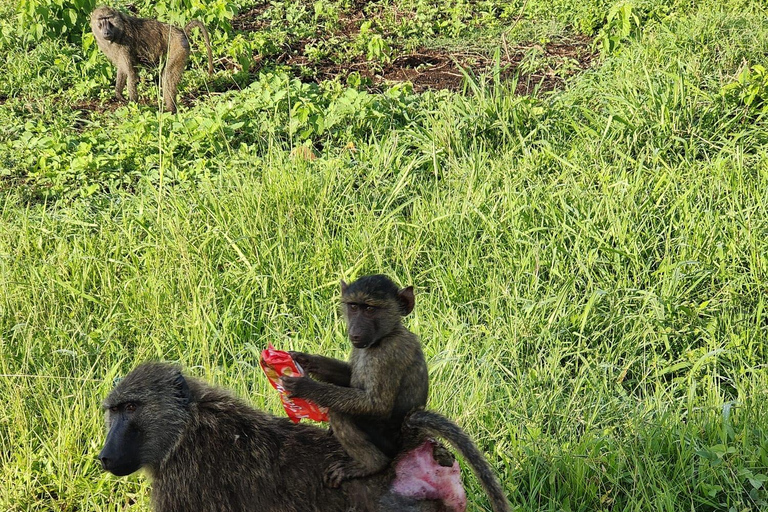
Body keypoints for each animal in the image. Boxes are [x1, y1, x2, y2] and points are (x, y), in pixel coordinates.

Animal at [99, 362, 512, 512]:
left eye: (131, 408)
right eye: (114, 411)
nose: (105, 456)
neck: (185, 429)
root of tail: (404, 445)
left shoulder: (182, 485)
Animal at [281, 274, 429, 487]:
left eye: (369, 309)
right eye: (353, 307)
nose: (355, 332)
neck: (387, 335)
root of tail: (408, 441)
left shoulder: (388, 354)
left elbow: (377, 405)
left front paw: (305, 386)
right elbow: (349, 375)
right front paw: (304, 360)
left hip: (386, 443)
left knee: (339, 413)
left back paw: (371, 465)